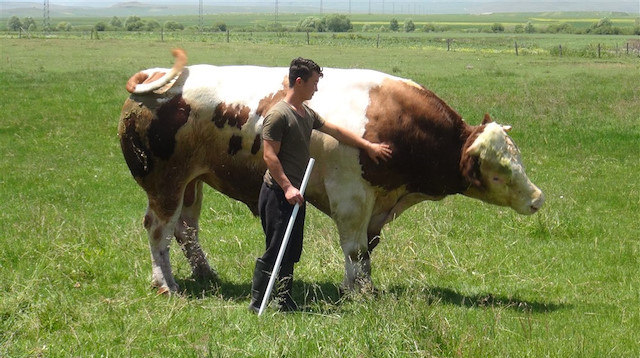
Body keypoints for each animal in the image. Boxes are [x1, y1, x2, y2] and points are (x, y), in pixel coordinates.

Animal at [119, 49, 544, 296]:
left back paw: (206, 273)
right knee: (159, 230)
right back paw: (166, 284)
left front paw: (359, 287)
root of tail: (152, 76)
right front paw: (360, 293)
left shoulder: (374, 205)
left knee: (186, 229)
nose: (537, 198)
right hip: (166, 183)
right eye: (499, 172)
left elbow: (365, 251)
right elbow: (354, 248)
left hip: (192, 182)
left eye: (517, 157)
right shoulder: (352, 198)